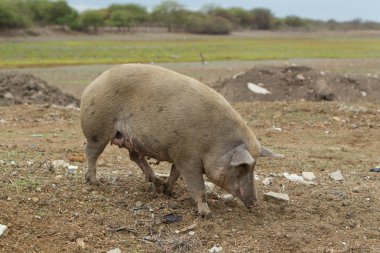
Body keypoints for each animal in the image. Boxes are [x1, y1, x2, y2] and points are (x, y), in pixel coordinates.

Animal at [81, 63, 282, 217]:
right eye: (242, 167)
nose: (254, 203)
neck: (213, 143)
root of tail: (93, 84)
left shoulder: (178, 153)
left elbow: (175, 173)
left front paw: (168, 192)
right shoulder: (188, 157)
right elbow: (196, 185)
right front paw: (207, 214)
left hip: (131, 139)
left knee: (135, 157)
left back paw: (156, 182)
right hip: (97, 129)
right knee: (91, 152)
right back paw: (95, 182)